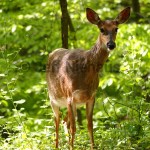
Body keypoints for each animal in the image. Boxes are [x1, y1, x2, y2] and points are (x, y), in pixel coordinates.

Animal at [46, 6, 131, 149]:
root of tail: (53, 52)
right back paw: (56, 146)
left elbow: (90, 126)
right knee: (57, 121)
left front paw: (92, 146)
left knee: (65, 122)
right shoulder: (70, 96)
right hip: (53, 98)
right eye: (101, 29)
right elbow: (74, 128)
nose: (111, 45)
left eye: (116, 28)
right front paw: (71, 147)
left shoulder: (91, 96)